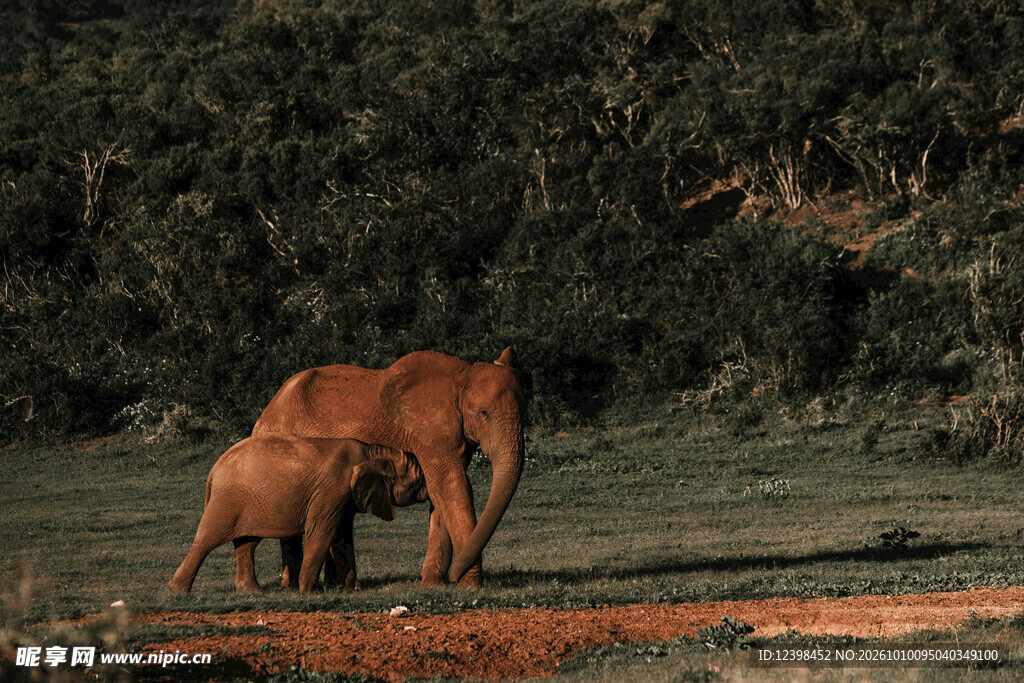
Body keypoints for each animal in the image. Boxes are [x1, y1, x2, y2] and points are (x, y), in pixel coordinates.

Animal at [167, 435, 428, 594]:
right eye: (417, 483)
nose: (428, 495)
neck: (373, 451)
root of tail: (214, 469)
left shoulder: (343, 495)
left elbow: (342, 536)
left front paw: (352, 590)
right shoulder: (333, 487)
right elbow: (321, 531)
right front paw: (309, 593)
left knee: (247, 543)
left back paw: (251, 591)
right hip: (227, 500)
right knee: (207, 539)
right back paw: (176, 590)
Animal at [251, 347, 526, 587]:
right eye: (483, 414)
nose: (453, 577)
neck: (461, 375)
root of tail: (266, 412)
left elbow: (441, 496)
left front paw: (432, 585)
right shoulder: (428, 435)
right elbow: (452, 490)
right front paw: (471, 586)